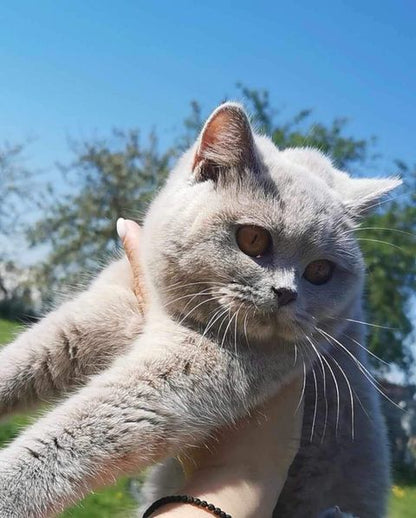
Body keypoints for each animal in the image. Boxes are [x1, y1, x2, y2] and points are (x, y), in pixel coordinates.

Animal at [0, 102, 400, 518]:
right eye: (253, 239)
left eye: (320, 271)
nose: (286, 293)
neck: (165, 311)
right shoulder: (109, 304)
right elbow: (33, 355)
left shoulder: (192, 371)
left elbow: (81, 428)